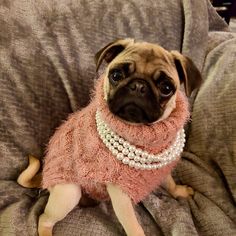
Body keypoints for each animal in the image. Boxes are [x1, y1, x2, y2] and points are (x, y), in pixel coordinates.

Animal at [17, 39, 202, 236]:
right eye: (116, 75)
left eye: (166, 88)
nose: (139, 86)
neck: (142, 137)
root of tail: (43, 176)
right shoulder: (121, 197)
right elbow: (134, 227)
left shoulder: (162, 170)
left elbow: (170, 183)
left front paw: (179, 192)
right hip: (69, 192)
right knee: (45, 218)